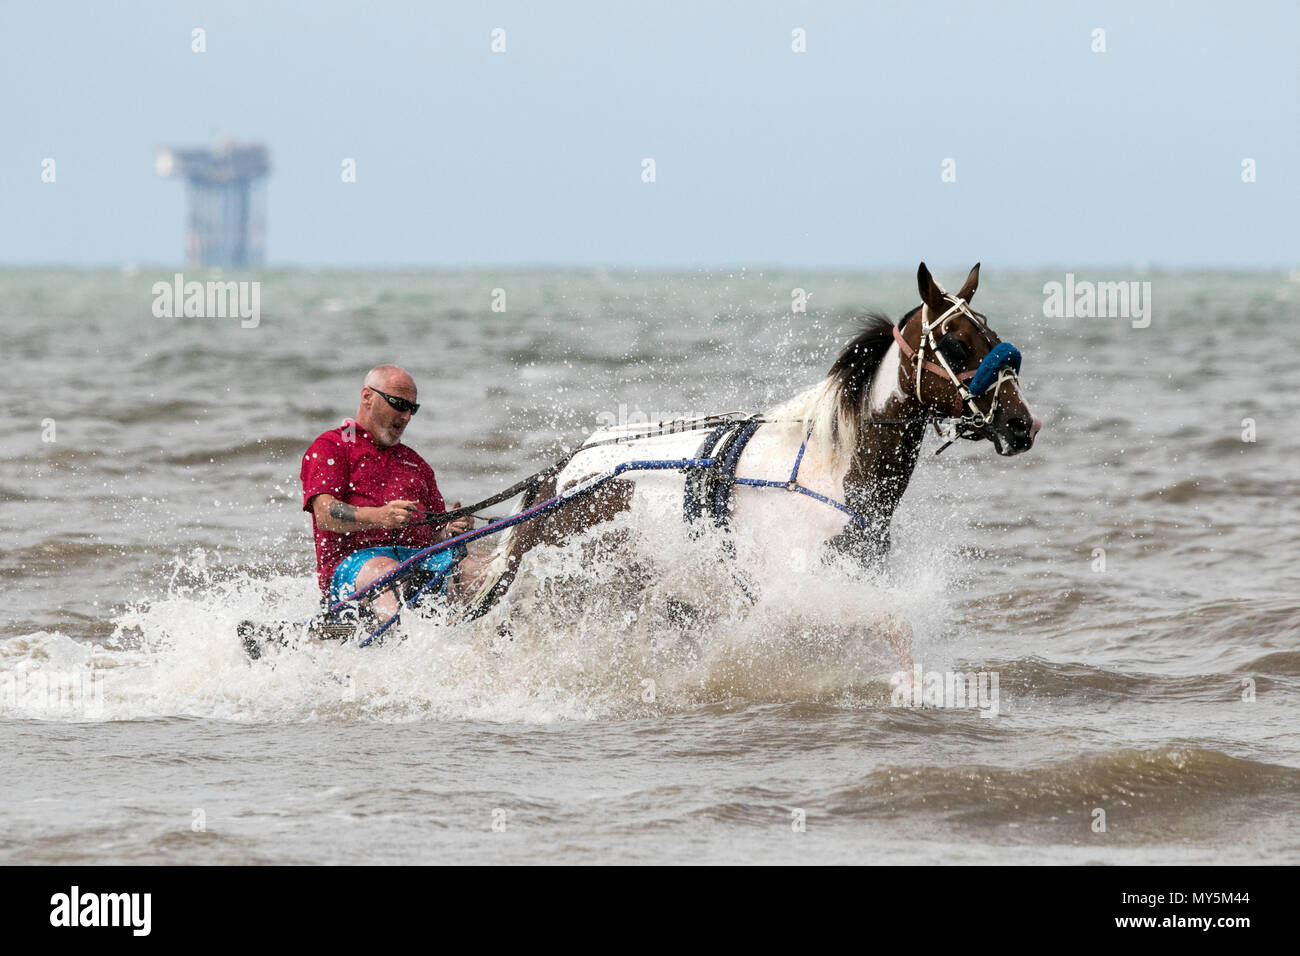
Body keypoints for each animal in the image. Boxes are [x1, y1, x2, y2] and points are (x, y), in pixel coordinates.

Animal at [462, 265, 1040, 647]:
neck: (826, 471)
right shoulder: (796, 593)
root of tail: (562, 475)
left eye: (992, 334)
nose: (1022, 424)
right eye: (956, 342)